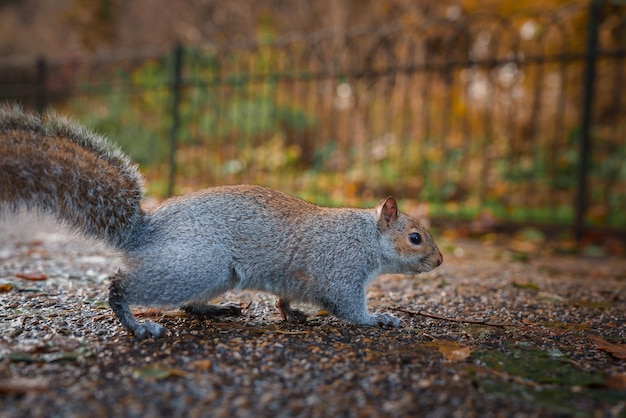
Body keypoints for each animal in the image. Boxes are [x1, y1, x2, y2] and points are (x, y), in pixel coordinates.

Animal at [0, 105, 442, 340]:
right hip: (198, 265)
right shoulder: (341, 269)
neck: (366, 237)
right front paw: (379, 318)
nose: (439, 262)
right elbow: (348, 305)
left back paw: (216, 309)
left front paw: (290, 313)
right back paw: (136, 323)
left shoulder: (299, 277)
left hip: (214, 274)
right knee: (123, 286)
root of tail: (146, 231)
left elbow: (287, 297)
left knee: (188, 304)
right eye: (415, 237)